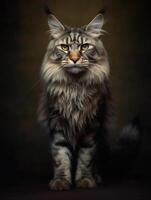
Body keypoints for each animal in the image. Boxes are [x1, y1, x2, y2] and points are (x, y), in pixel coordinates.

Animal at [38, 8, 140, 191]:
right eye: (64, 47)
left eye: (85, 47)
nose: (74, 58)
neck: (75, 87)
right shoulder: (57, 123)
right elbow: (60, 157)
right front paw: (61, 182)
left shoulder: (92, 125)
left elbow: (86, 158)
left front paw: (85, 180)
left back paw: (97, 177)